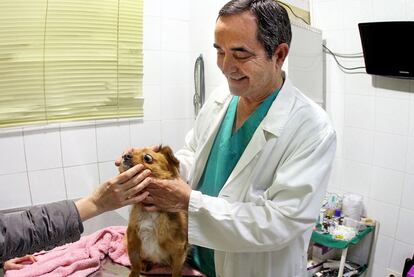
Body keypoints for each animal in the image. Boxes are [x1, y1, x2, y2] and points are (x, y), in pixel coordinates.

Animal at [118, 146, 189, 276]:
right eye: (130, 152)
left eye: (147, 158)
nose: (125, 156)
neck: (149, 211)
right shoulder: (132, 241)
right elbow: (135, 265)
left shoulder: (179, 250)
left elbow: (176, 271)